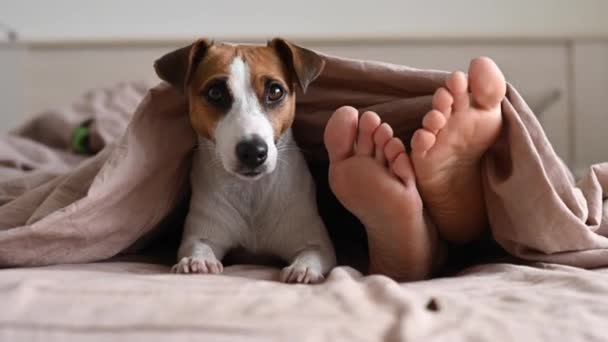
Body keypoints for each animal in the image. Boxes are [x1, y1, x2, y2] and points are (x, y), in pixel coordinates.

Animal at [154, 38, 338, 284]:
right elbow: (198, 246)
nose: (253, 151)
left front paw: (304, 268)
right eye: (215, 93)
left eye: (275, 91)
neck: (252, 192)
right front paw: (197, 261)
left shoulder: (314, 241)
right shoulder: (203, 233)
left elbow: (313, 253)